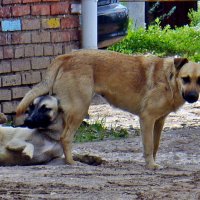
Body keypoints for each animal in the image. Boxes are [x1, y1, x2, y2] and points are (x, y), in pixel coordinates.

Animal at [16, 49, 200, 169]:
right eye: (185, 79)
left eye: (199, 80)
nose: (193, 97)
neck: (170, 79)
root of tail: (66, 56)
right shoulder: (147, 118)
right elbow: (148, 146)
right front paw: (150, 165)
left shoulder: (159, 121)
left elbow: (155, 145)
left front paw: (152, 162)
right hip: (79, 110)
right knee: (65, 137)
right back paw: (71, 162)